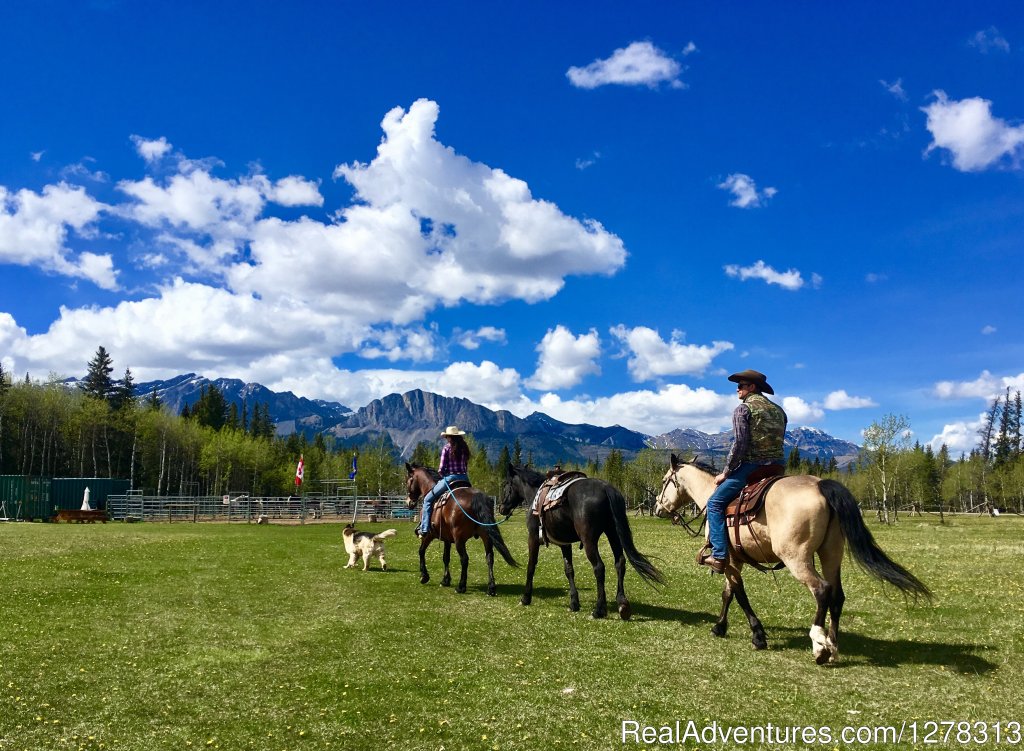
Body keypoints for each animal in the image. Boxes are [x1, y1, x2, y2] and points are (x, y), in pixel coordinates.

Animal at [405, 459, 520, 594]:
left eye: (408, 480)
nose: (409, 502)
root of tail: (476, 496)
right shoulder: (447, 539)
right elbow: (446, 557)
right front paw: (445, 580)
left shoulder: (428, 535)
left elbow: (421, 551)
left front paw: (424, 576)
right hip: (486, 536)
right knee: (489, 557)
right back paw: (491, 587)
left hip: (459, 539)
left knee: (464, 559)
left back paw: (461, 586)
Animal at [495, 465, 663, 618]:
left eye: (505, 485)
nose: (501, 508)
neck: (535, 496)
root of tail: (606, 488)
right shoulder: (564, 543)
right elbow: (569, 570)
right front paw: (574, 603)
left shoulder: (533, 538)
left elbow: (531, 566)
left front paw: (525, 598)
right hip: (613, 533)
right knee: (620, 562)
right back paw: (622, 605)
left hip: (589, 540)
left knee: (599, 567)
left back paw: (599, 610)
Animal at [651, 450, 933, 663]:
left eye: (664, 481)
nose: (657, 508)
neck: (711, 496)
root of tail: (820, 484)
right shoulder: (734, 560)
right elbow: (728, 593)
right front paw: (720, 627)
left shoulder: (728, 559)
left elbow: (739, 594)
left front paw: (758, 636)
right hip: (831, 554)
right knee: (837, 595)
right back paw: (832, 647)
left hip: (797, 558)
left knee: (822, 590)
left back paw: (819, 647)